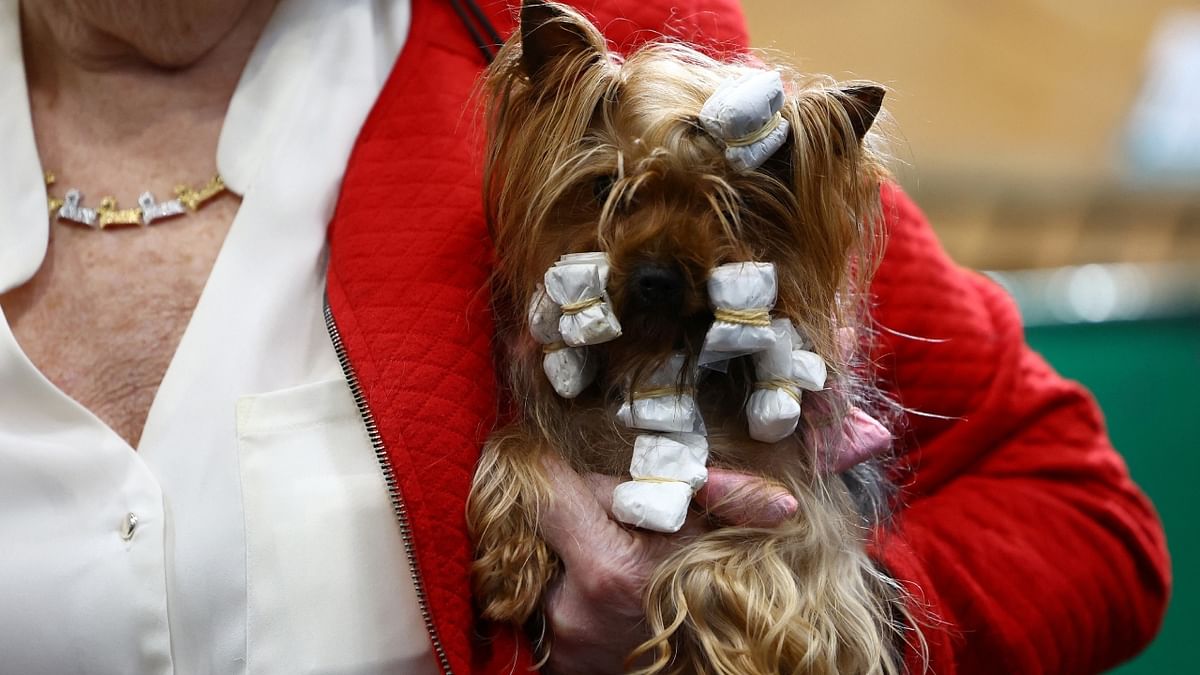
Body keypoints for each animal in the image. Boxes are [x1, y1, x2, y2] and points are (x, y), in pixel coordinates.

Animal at [463, 2, 912, 667]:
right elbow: (520, 442)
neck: (653, 355)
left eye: (734, 209)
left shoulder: (809, 519)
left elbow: (737, 568)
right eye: (607, 187)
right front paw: (506, 564)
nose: (657, 279)